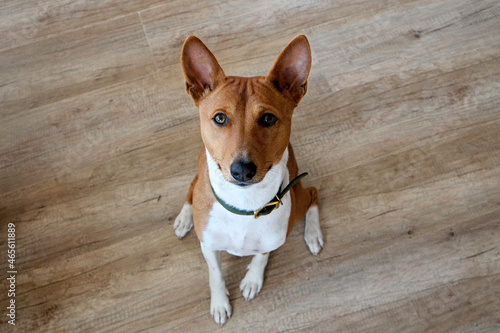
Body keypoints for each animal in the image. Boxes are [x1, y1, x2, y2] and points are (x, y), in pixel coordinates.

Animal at [174, 33, 324, 324]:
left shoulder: (270, 241)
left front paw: (253, 279)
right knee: (192, 185)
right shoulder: (209, 246)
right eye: (220, 118)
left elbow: (261, 258)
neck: (243, 205)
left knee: (313, 193)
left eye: (268, 118)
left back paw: (312, 235)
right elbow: (215, 274)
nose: (242, 170)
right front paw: (220, 302)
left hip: (299, 198)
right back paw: (185, 218)